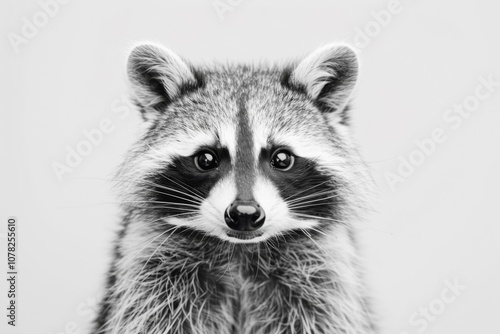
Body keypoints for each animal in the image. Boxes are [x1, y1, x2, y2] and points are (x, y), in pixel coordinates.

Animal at [93, 43, 376, 332]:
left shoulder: (325, 273)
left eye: (282, 159)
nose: (244, 214)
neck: (240, 251)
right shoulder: (149, 267)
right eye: (206, 159)